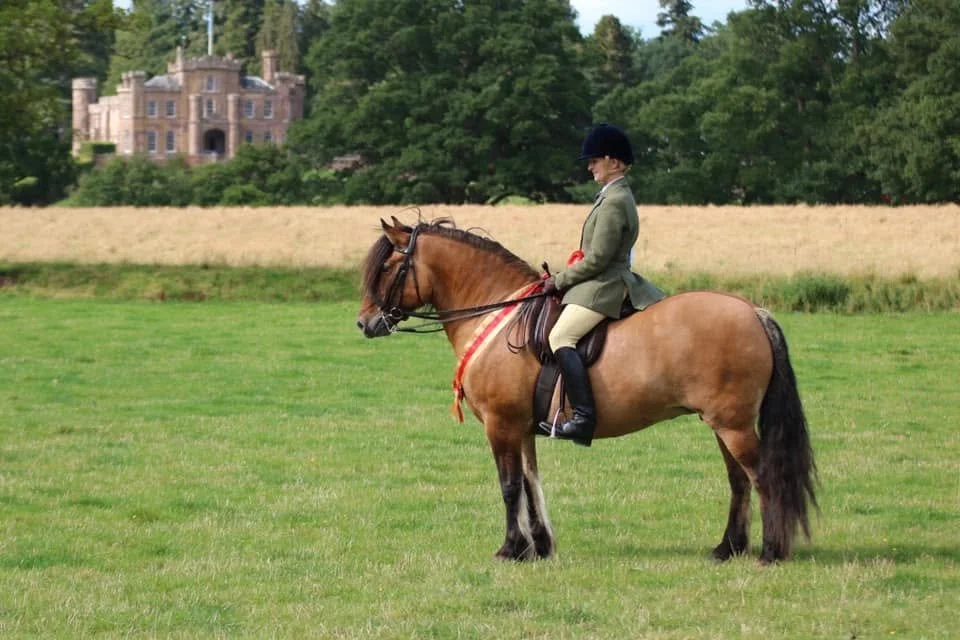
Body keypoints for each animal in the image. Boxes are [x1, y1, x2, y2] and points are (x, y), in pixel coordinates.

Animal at [356, 217, 817, 564]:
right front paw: (539, 547)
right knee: (739, 481)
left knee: (762, 477)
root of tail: (753, 311)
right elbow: (530, 483)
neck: (497, 314)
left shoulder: (500, 425)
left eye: (387, 268)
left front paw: (511, 549)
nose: (365, 323)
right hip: (722, 423)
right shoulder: (522, 428)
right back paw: (728, 549)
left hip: (732, 425)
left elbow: (509, 486)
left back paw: (771, 552)